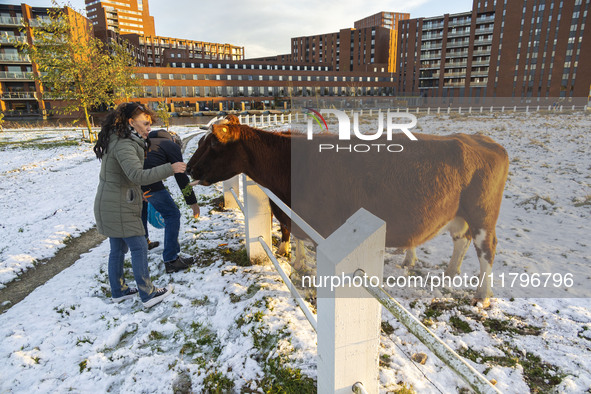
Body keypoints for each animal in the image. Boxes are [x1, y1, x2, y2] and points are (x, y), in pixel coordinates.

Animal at [188, 123, 508, 308]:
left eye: (213, 143)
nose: (189, 168)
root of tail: (481, 139)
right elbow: (296, 236)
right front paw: (296, 262)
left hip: (482, 215)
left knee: (486, 249)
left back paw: (482, 296)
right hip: (459, 214)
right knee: (461, 240)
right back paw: (450, 273)